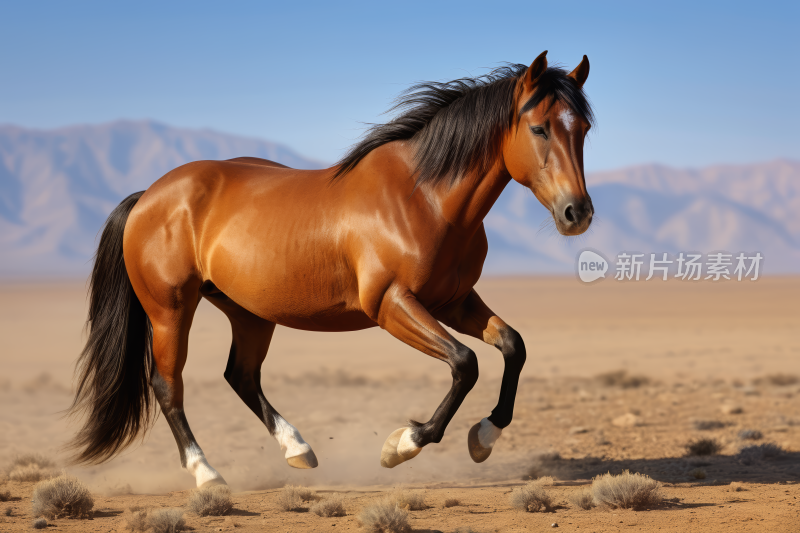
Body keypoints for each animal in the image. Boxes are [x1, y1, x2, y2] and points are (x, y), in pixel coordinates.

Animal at [69, 51, 592, 486]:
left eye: (583, 130)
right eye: (540, 129)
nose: (577, 213)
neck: (424, 199)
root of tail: (149, 196)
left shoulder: (454, 302)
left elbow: (512, 347)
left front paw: (484, 436)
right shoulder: (391, 304)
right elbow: (465, 363)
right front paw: (403, 444)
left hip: (248, 312)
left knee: (241, 376)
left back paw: (298, 449)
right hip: (170, 309)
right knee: (168, 385)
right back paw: (206, 473)